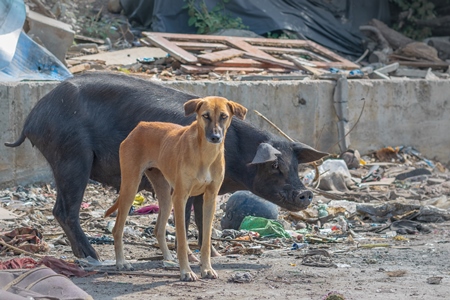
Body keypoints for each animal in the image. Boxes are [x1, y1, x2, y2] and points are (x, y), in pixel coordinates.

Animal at [6, 71, 326, 258]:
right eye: (274, 167)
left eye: (296, 167)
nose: (306, 193)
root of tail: (32, 117)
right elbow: (187, 219)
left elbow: (202, 221)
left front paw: (215, 256)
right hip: (72, 155)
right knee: (64, 210)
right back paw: (91, 257)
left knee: (60, 209)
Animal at [104, 96, 248, 282]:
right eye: (205, 115)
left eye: (223, 116)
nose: (215, 137)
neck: (205, 154)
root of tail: (140, 125)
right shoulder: (181, 198)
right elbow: (182, 240)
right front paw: (186, 271)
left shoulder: (210, 198)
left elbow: (206, 240)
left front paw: (206, 268)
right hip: (131, 188)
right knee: (117, 229)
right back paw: (121, 263)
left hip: (166, 197)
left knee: (158, 229)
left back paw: (168, 259)